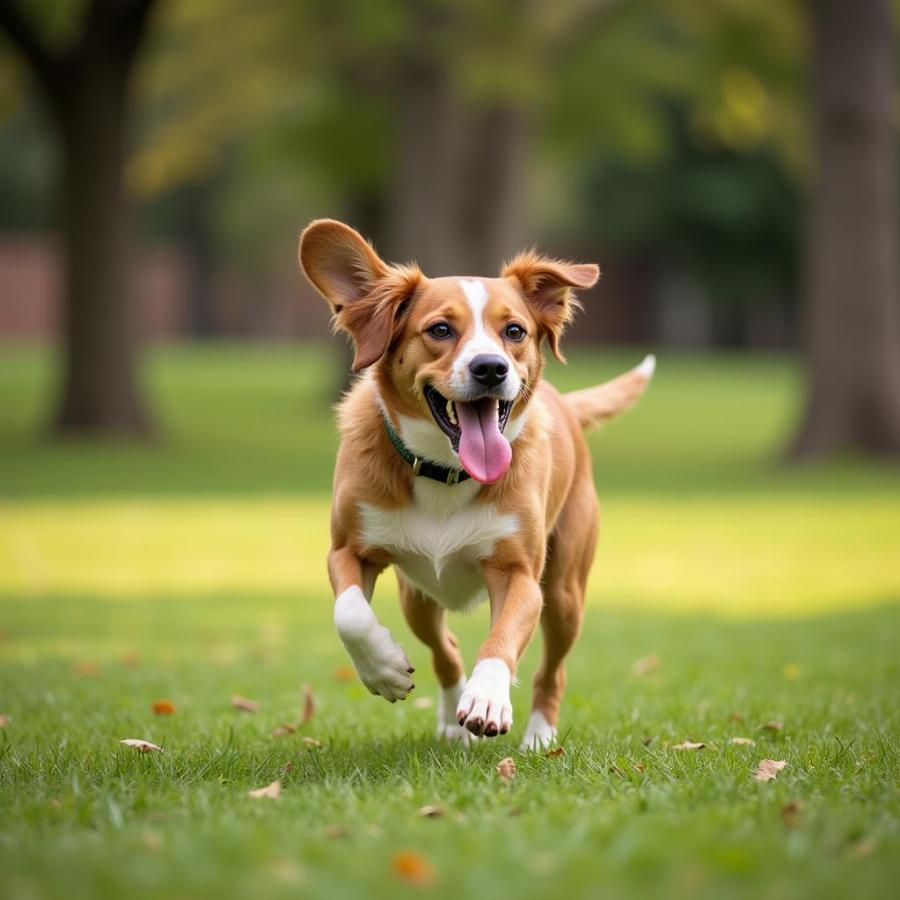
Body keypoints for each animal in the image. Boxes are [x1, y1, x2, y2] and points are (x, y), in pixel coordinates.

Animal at [298, 221, 652, 748]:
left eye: (515, 332)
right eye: (440, 330)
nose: (490, 367)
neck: (446, 471)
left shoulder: (520, 575)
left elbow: (500, 640)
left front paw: (487, 696)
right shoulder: (347, 550)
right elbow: (351, 614)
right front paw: (383, 669)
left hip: (565, 593)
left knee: (553, 670)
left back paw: (539, 736)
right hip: (418, 597)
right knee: (443, 648)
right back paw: (449, 718)